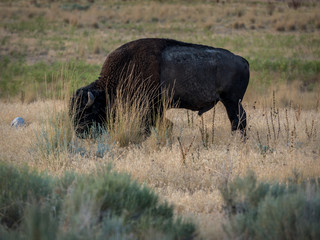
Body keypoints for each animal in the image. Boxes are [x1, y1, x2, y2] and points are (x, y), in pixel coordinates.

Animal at [70, 38, 250, 138]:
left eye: (89, 111)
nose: (79, 133)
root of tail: (242, 60)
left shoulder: (150, 109)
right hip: (231, 102)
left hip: (231, 100)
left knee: (238, 121)